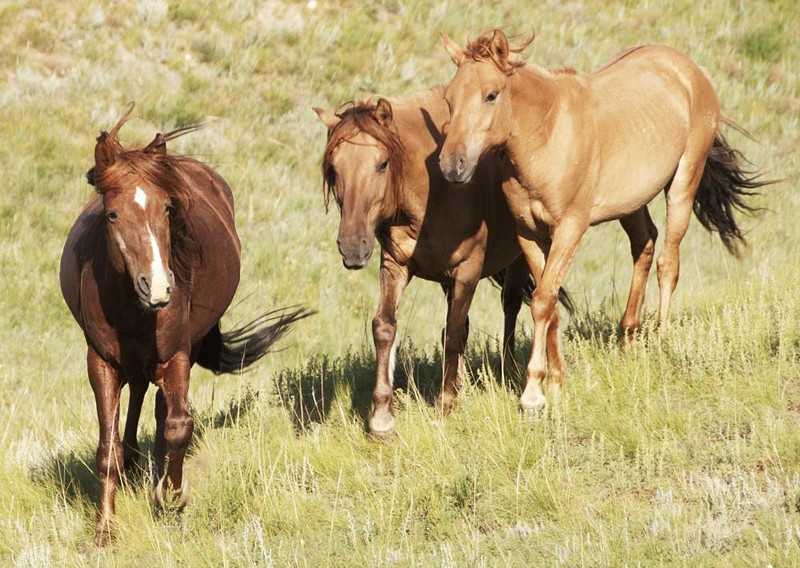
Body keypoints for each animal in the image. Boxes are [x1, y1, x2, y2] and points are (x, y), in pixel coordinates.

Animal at [58, 104, 310, 544]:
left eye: (167, 209)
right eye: (112, 213)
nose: (158, 286)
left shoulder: (176, 355)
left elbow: (178, 426)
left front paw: (171, 498)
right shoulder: (101, 362)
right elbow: (107, 450)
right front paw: (105, 531)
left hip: (184, 352)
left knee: (161, 408)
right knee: (139, 396)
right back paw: (135, 464)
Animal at [316, 91, 572, 432]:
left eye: (382, 164)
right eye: (333, 168)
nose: (352, 247)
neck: (433, 191)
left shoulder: (468, 270)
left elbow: (452, 334)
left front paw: (446, 403)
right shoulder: (396, 265)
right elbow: (385, 327)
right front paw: (382, 416)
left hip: (522, 258)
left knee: (515, 305)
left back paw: (512, 370)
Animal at [440, 28, 772, 412]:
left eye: (490, 95)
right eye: (449, 98)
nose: (452, 166)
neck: (548, 134)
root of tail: (689, 68)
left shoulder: (570, 229)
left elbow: (542, 301)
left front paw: (534, 392)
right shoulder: (530, 234)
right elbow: (549, 302)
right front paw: (557, 380)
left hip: (683, 182)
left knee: (668, 262)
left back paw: (660, 342)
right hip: (631, 203)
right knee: (645, 244)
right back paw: (627, 337)